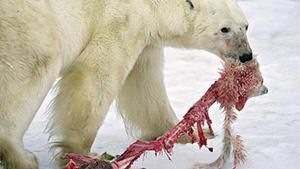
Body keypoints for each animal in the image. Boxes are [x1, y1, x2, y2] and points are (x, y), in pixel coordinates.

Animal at [0, 0, 253, 168]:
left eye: (246, 26)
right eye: (224, 28)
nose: (246, 55)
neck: (154, 4)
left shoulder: (144, 36)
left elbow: (145, 88)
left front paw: (184, 134)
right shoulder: (120, 19)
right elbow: (98, 72)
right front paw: (83, 154)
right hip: (29, 24)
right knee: (33, 67)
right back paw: (21, 157)